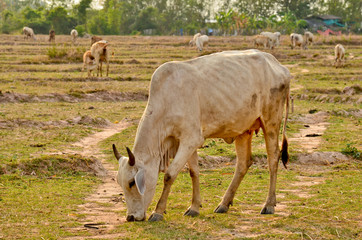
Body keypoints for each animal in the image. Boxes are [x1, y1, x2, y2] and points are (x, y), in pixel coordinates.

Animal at [113, 49, 292, 222]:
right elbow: (194, 172)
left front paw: (158, 211)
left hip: (271, 122)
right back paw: (224, 204)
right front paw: (194, 207)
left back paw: (269, 205)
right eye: (120, 183)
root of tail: (279, 65)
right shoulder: (186, 142)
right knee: (243, 164)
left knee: (273, 159)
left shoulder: (190, 139)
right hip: (243, 129)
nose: (130, 217)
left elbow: (170, 175)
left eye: (131, 182)